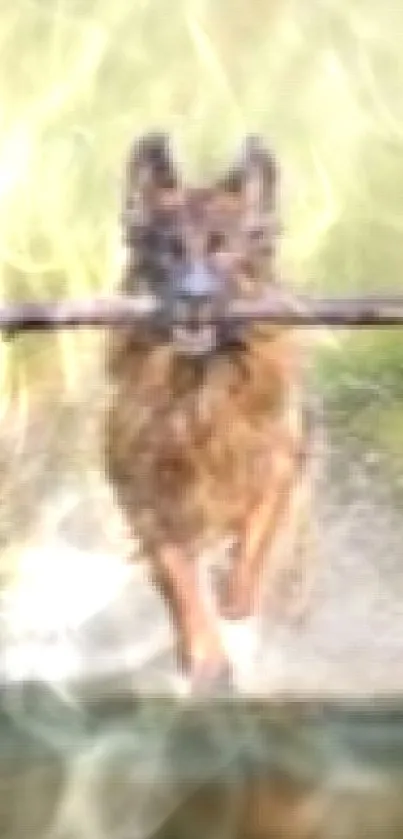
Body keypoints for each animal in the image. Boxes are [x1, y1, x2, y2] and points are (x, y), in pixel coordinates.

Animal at [103, 133, 316, 688]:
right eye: (168, 249)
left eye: (223, 247)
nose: (192, 298)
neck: (201, 383)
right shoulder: (146, 493)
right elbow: (177, 572)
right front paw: (204, 654)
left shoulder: (277, 466)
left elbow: (253, 545)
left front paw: (234, 593)